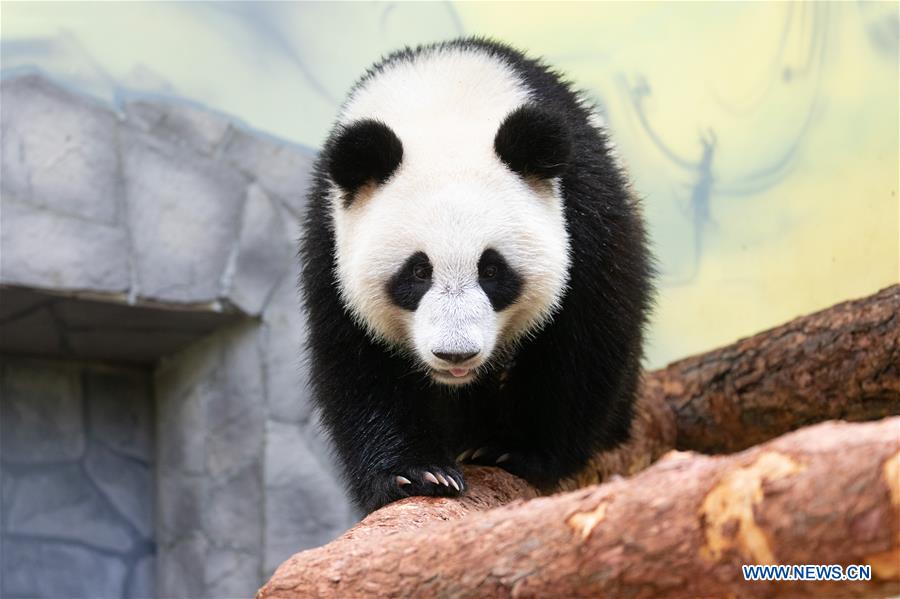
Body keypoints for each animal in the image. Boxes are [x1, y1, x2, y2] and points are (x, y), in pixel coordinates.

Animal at [301, 38, 654, 514]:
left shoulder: (584, 207)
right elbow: (357, 358)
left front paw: (519, 450)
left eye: (491, 270)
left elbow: (583, 336)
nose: (456, 354)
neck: (444, 94)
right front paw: (415, 472)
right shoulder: (330, 236)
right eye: (418, 271)